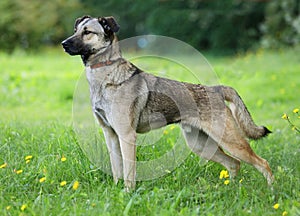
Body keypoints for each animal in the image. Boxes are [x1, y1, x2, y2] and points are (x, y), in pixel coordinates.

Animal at [61, 15, 274, 191]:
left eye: (87, 32)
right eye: (75, 30)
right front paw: (116, 191)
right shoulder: (111, 135)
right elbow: (116, 170)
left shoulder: (126, 136)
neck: (106, 74)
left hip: (231, 141)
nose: (63, 44)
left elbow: (129, 173)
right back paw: (232, 189)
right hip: (200, 145)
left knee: (262, 163)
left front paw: (128, 194)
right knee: (234, 164)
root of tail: (216, 89)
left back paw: (271, 192)